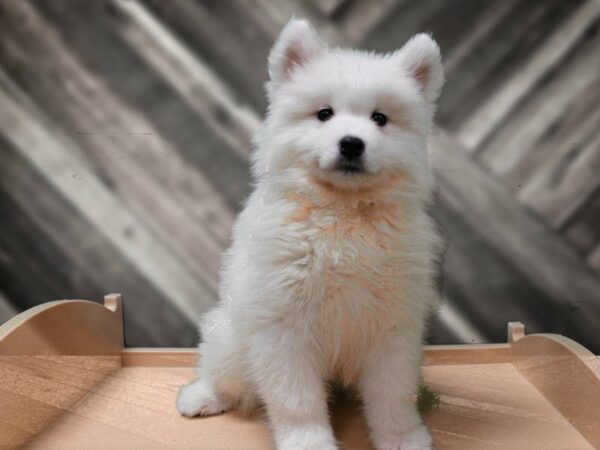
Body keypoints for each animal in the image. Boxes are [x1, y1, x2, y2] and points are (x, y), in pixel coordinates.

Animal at [176, 18, 442, 450]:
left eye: (380, 118)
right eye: (324, 114)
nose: (351, 143)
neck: (342, 214)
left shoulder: (393, 325)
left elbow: (394, 392)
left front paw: (402, 437)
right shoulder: (283, 326)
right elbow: (296, 399)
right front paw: (309, 443)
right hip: (232, 337)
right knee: (225, 375)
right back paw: (201, 396)